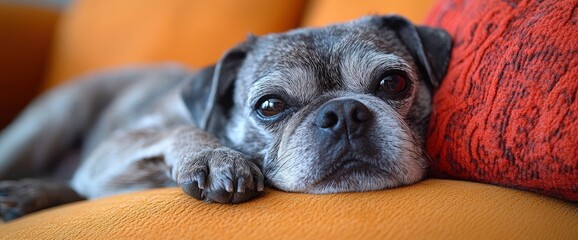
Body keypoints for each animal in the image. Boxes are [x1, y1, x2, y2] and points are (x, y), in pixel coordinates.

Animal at [0, 15, 450, 221]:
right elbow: (183, 128)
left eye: (392, 83)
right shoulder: (109, 155)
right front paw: (217, 157)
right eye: (270, 106)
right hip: (50, 121)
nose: (342, 112)